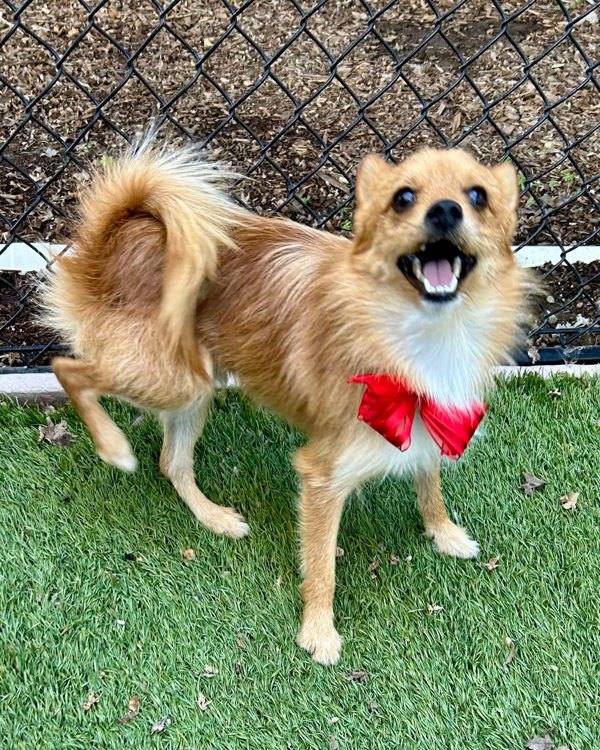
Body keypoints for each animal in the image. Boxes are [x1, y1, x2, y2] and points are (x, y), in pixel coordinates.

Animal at [44, 140, 532, 664]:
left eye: (478, 195)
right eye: (403, 198)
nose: (445, 210)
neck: (420, 334)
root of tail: (119, 238)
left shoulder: (428, 419)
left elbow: (430, 483)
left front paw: (444, 533)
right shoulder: (322, 474)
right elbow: (321, 566)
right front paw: (318, 631)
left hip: (194, 385)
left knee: (171, 462)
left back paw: (215, 518)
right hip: (170, 378)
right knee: (67, 368)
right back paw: (113, 446)